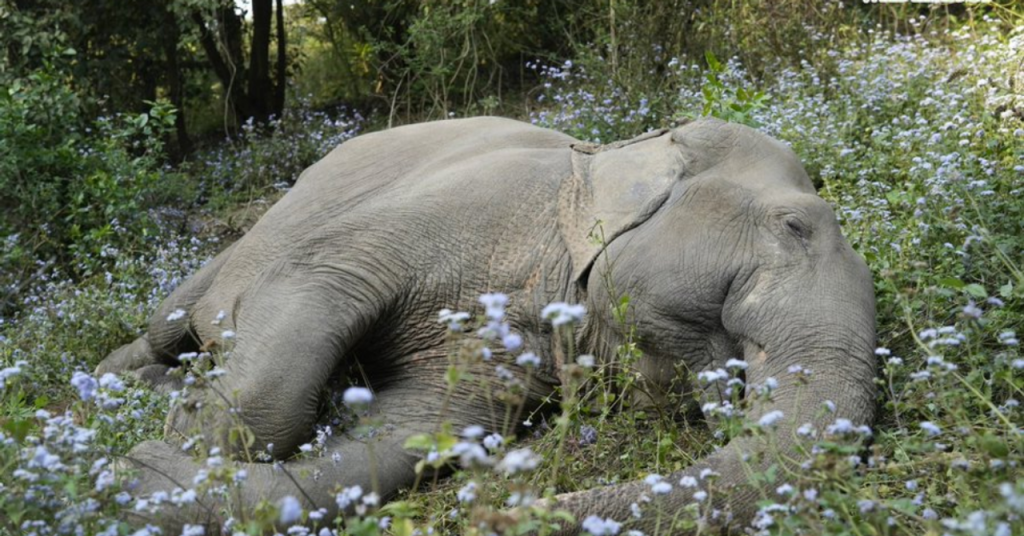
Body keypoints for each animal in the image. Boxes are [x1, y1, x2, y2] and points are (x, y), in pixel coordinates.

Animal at [97, 116, 877, 534]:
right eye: (795, 226)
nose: (502, 505)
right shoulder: (448, 210)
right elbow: (312, 296)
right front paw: (175, 427)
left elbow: (407, 438)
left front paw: (143, 474)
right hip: (251, 233)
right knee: (169, 316)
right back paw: (123, 378)